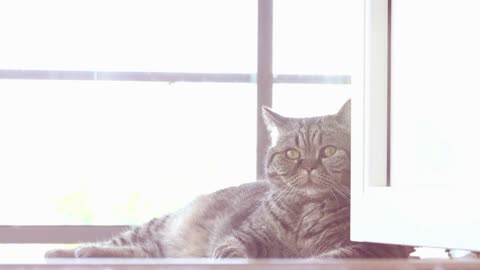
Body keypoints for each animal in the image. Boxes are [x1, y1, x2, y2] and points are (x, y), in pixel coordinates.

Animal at [45, 100, 412, 258]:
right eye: (293, 153)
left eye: (328, 151)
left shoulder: (366, 248)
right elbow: (229, 251)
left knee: (144, 253)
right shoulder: (240, 236)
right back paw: (67, 252)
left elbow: (327, 258)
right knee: (125, 243)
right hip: (157, 227)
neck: (305, 214)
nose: (308, 166)